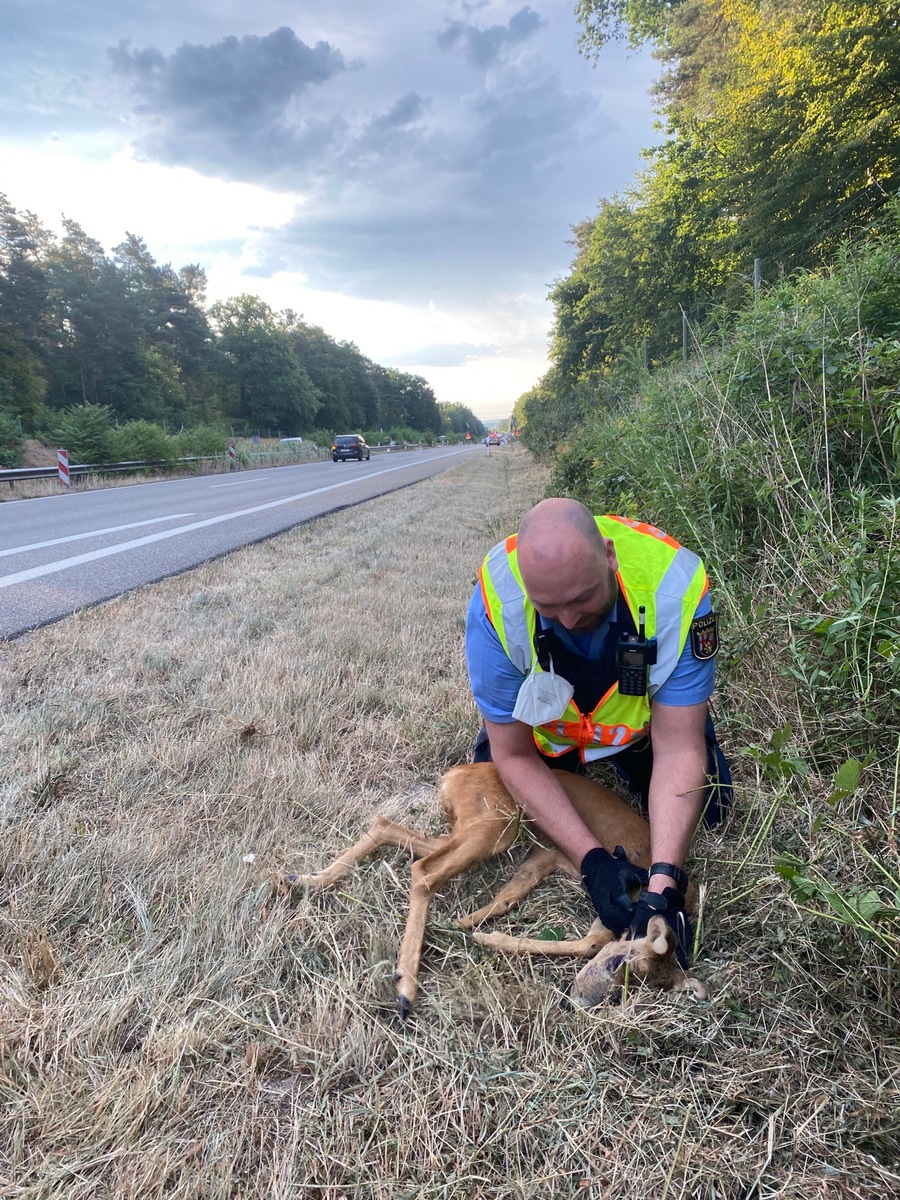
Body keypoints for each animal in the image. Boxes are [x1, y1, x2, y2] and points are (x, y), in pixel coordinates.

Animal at [285, 758, 710, 1012]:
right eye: (618, 965)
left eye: (629, 993)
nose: (576, 1002)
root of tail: (456, 773)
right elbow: (587, 943)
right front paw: (484, 936)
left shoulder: (547, 857)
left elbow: (513, 900)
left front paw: (471, 927)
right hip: (495, 826)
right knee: (423, 871)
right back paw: (406, 987)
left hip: (477, 827)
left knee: (387, 827)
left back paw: (305, 879)